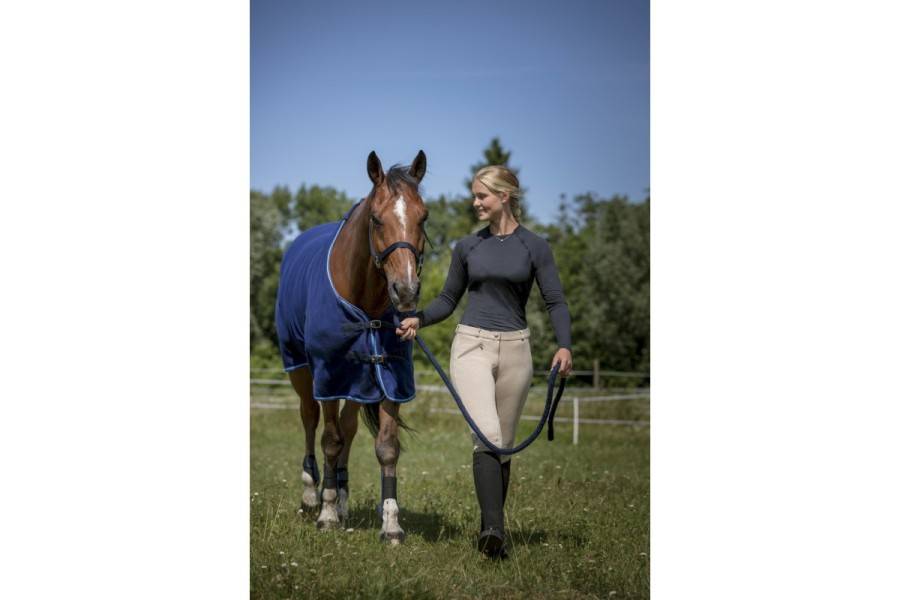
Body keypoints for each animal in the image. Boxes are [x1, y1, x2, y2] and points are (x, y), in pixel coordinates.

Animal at [275, 150, 428, 543]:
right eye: (376, 219)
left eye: (423, 217)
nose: (405, 291)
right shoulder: (328, 376)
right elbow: (330, 439)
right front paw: (327, 513)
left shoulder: (389, 378)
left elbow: (385, 448)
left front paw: (391, 524)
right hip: (302, 371)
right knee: (310, 420)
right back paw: (312, 494)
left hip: (358, 381)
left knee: (349, 428)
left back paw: (342, 496)